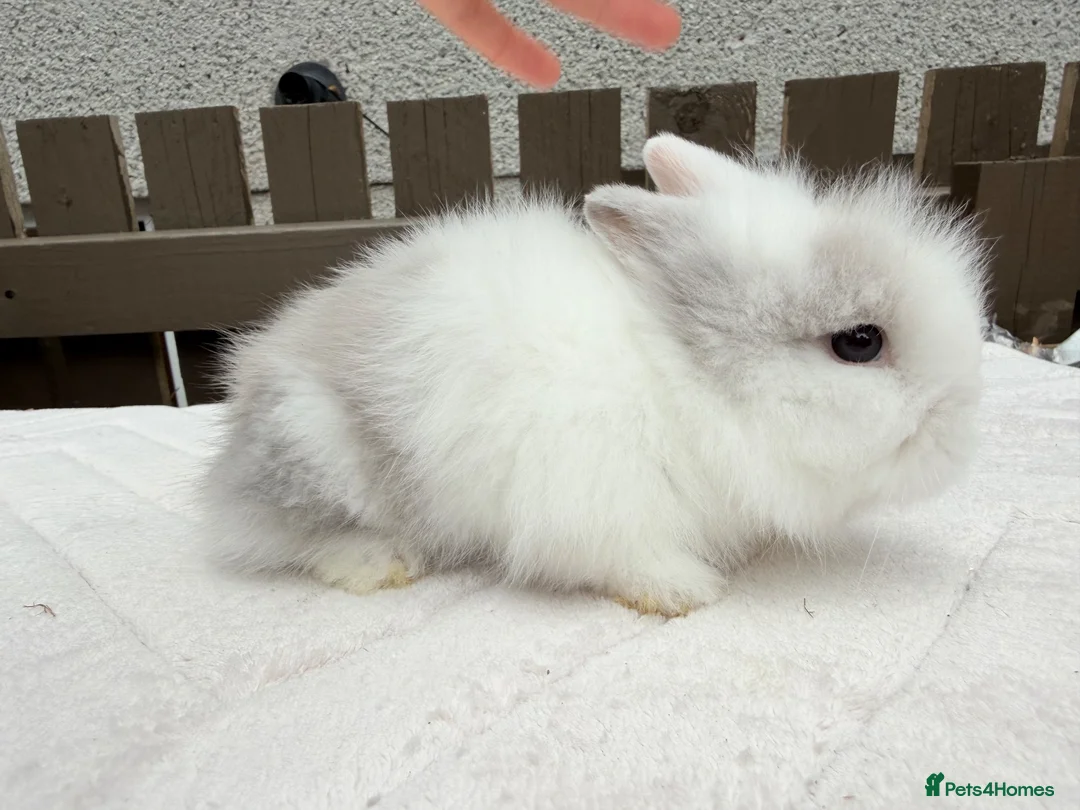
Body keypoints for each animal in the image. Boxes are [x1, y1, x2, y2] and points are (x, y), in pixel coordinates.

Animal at [200, 133, 989, 617]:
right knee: (292, 538)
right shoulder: (593, 500)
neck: (688, 376)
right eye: (860, 343)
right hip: (316, 450)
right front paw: (685, 591)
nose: (959, 435)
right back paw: (377, 564)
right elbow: (623, 558)